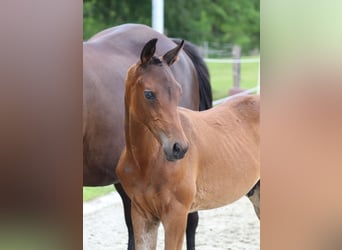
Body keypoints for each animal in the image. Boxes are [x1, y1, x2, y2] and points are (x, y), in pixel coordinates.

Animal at [116, 39, 260, 250]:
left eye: (178, 91)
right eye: (149, 94)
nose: (179, 148)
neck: (147, 161)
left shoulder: (176, 215)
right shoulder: (142, 215)